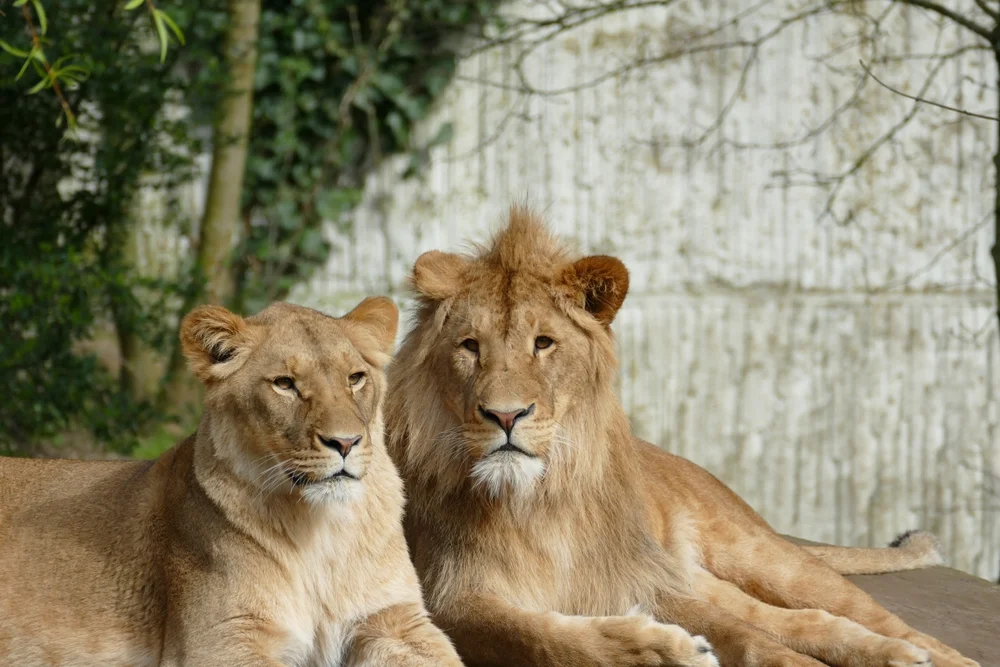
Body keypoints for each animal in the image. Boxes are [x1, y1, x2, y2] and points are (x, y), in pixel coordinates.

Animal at [0, 299, 462, 667]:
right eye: (285, 384)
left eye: (355, 378)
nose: (345, 442)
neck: (321, 529)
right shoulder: (220, 639)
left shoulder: (397, 621)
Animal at [384, 206, 978, 667]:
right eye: (470, 346)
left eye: (544, 343)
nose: (506, 416)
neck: (533, 501)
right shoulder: (452, 598)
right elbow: (542, 636)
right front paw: (663, 648)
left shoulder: (640, 577)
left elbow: (748, 638)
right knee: (795, 619)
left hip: (762, 555)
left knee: (853, 615)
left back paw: (926, 653)